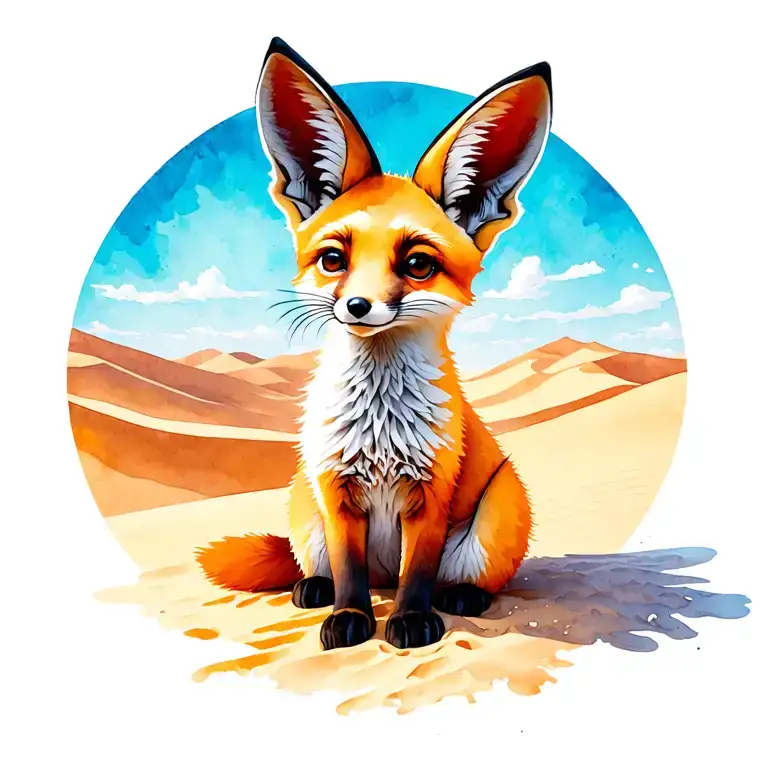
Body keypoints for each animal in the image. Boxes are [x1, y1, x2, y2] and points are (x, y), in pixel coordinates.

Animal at [196, 37, 551, 651]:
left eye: (418, 265)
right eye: (333, 259)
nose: (358, 307)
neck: (380, 426)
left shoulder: (431, 493)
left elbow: (418, 573)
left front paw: (410, 622)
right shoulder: (335, 491)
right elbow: (348, 570)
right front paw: (349, 619)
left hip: (500, 509)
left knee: (454, 578)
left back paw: (460, 597)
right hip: (303, 500)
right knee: (331, 569)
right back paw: (314, 588)